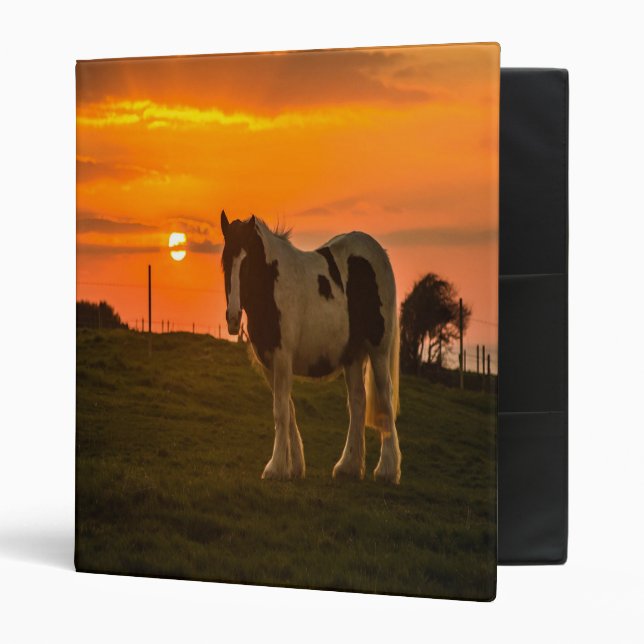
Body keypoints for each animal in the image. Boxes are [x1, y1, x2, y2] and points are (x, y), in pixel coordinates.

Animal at [220, 210, 401, 484]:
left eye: (247, 262)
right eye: (224, 261)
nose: (232, 317)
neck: (272, 287)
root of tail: (379, 253)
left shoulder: (283, 358)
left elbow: (280, 411)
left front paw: (275, 468)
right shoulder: (269, 363)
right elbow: (289, 409)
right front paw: (293, 466)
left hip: (378, 351)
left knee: (384, 397)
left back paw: (386, 470)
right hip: (352, 356)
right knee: (358, 401)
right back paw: (348, 466)